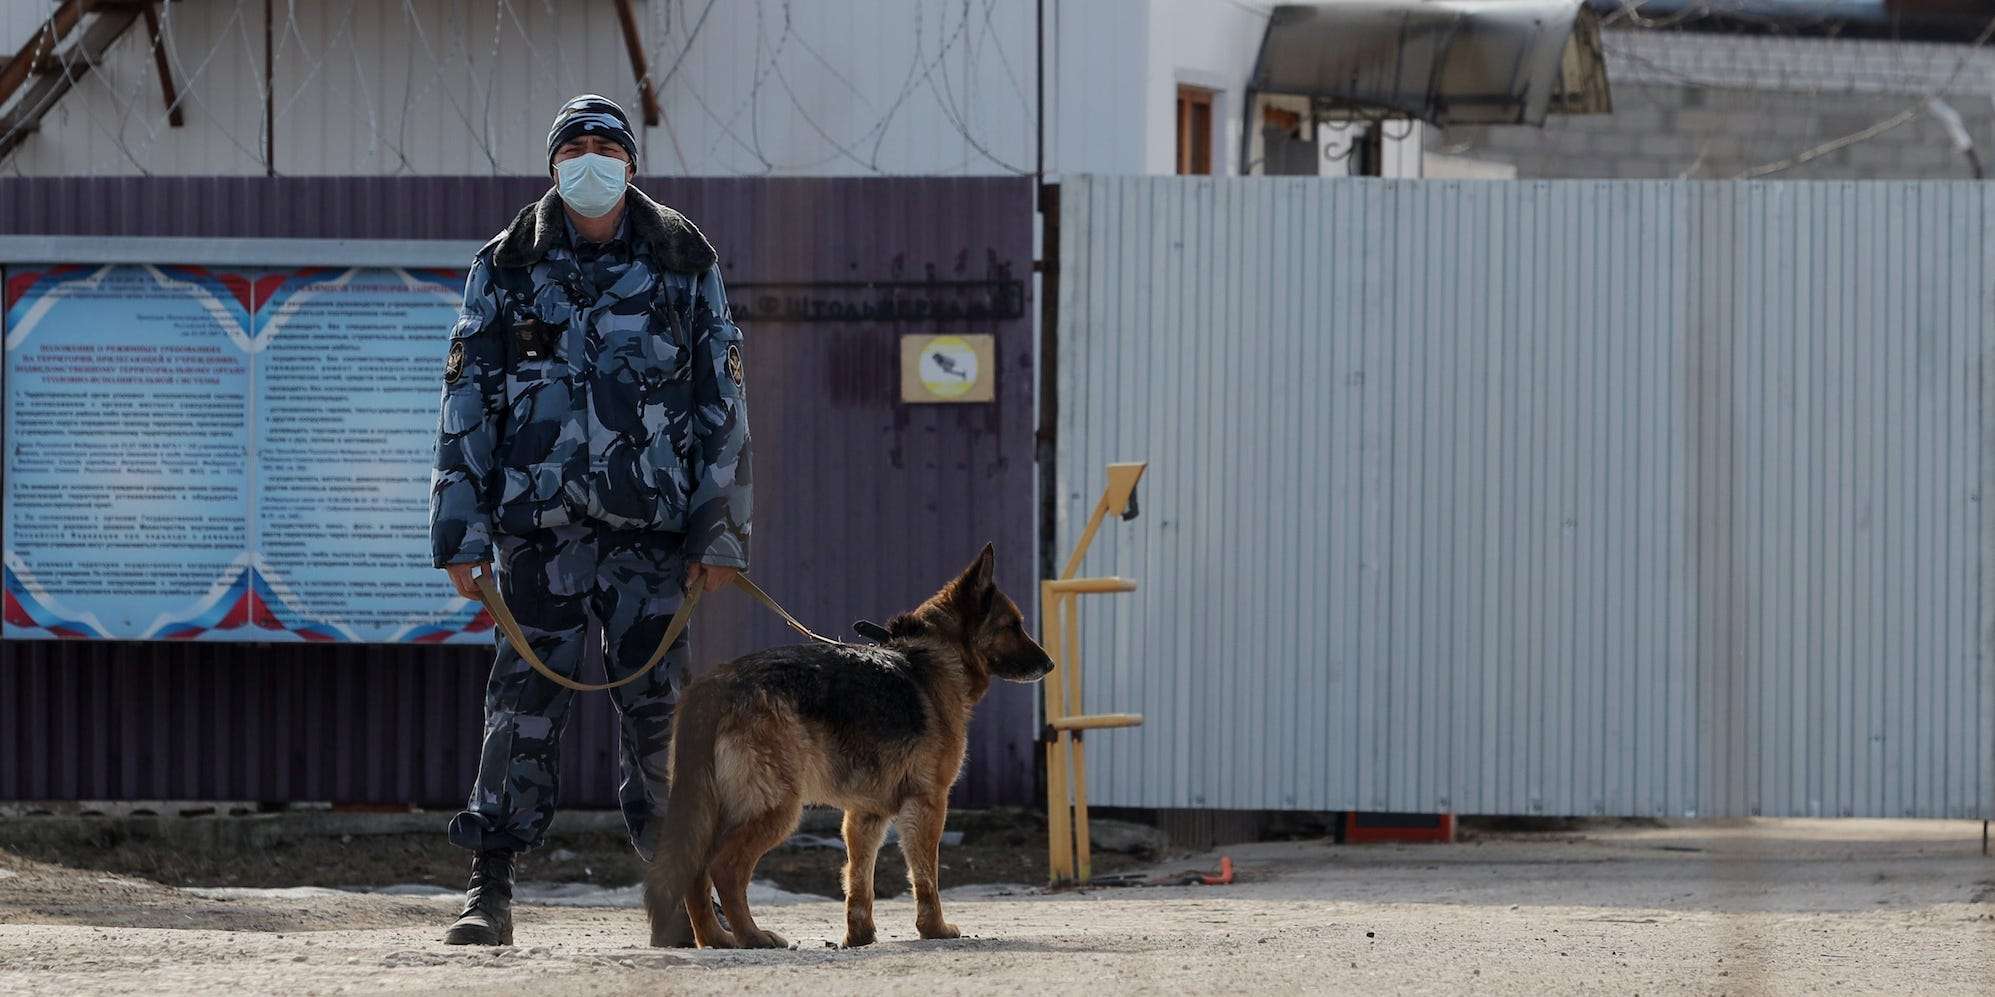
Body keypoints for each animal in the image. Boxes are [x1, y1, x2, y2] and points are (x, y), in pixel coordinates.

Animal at [646, 546, 1053, 949]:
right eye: (1013, 626)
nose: (1049, 664)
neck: (935, 654)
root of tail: (715, 685)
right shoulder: (928, 803)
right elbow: (926, 877)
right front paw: (933, 929)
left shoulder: (864, 814)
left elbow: (858, 878)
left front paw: (859, 935)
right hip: (777, 808)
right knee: (725, 868)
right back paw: (751, 936)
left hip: (713, 809)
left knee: (696, 871)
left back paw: (715, 938)